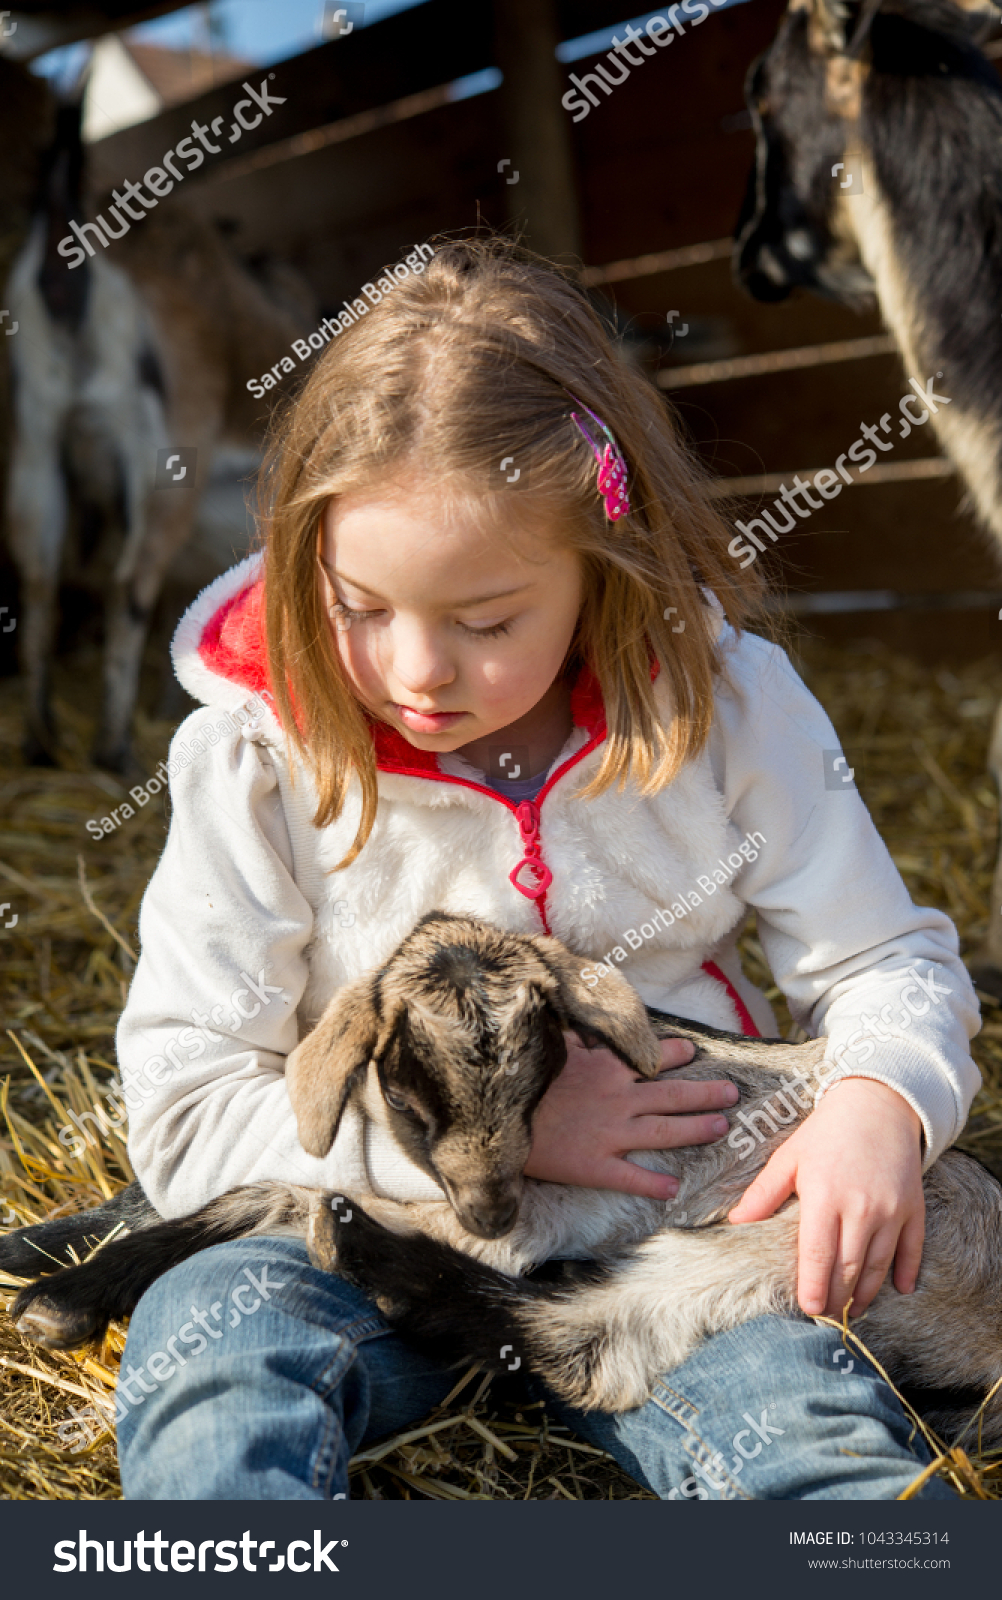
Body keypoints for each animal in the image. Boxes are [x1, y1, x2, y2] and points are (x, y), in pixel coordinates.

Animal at [1, 915, 998, 1452]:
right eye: (407, 1093)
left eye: (539, 1082)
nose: (488, 1209)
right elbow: (242, 1192)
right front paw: (52, 1277)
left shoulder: (535, 1214)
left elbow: (280, 1196)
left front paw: (56, 1294)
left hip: (812, 1239)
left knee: (591, 1340)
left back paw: (370, 1254)